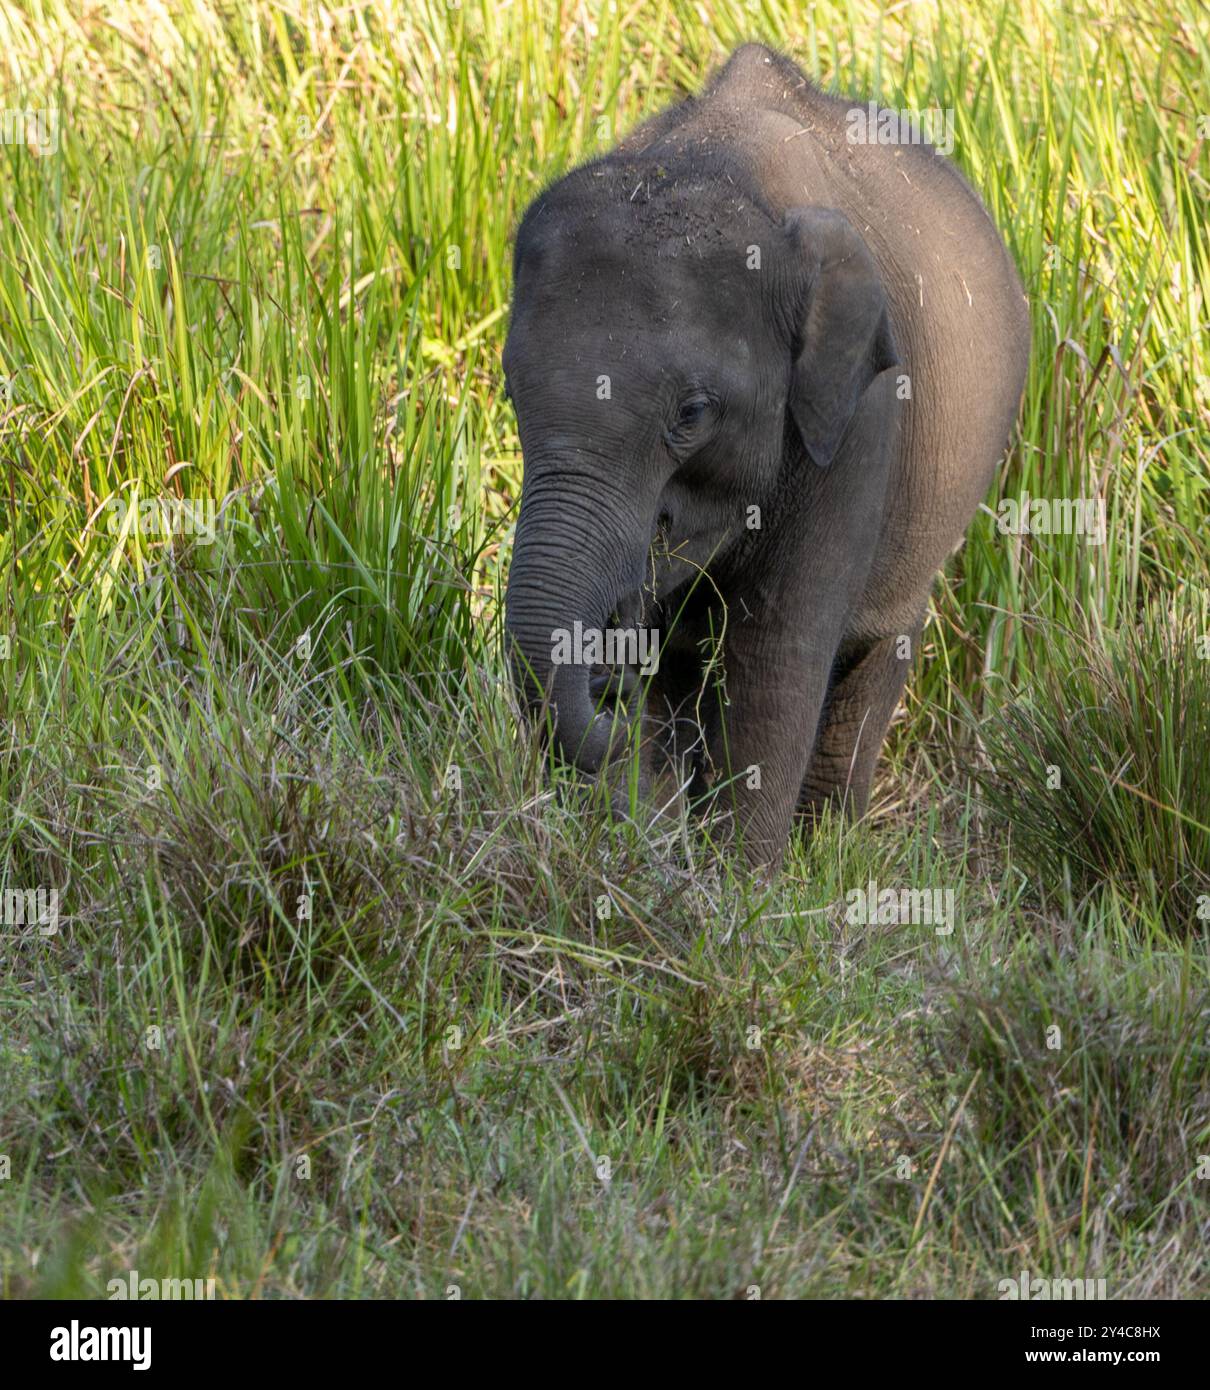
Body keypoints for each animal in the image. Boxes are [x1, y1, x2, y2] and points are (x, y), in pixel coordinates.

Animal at [502, 43, 1030, 867]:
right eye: (511, 391)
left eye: (692, 414)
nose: (608, 688)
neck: (709, 163)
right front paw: (652, 856)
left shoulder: (860, 421)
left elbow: (775, 657)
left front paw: (740, 884)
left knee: (876, 655)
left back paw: (827, 854)